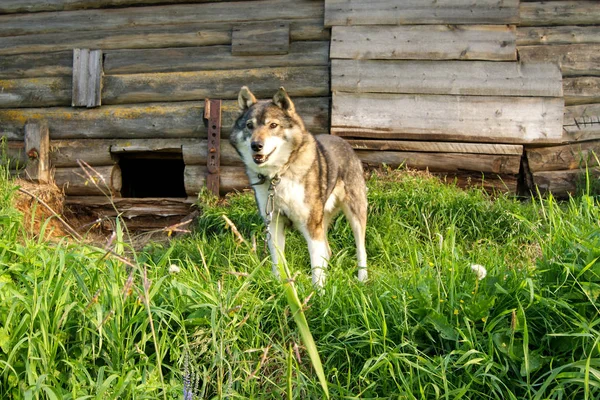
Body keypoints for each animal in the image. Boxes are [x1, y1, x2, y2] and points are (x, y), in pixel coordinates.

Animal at [230, 86, 368, 288]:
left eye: (273, 125)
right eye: (249, 125)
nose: (256, 145)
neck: (278, 176)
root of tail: (342, 141)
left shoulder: (310, 224)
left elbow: (316, 266)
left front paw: (318, 292)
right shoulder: (274, 224)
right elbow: (278, 261)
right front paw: (283, 287)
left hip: (355, 213)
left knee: (360, 248)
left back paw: (362, 278)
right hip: (322, 218)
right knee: (327, 251)